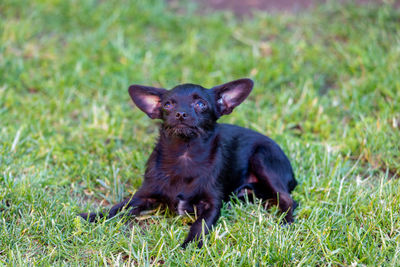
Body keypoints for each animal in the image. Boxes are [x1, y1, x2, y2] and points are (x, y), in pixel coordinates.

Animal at [79, 79, 296, 249]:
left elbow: (199, 225)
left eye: (200, 104)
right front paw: (92, 216)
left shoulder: (212, 205)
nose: (181, 113)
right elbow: (118, 208)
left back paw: (285, 223)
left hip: (262, 159)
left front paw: (189, 245)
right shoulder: (142, 196)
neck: (185, 156)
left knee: (288, 199)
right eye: (167, 105)